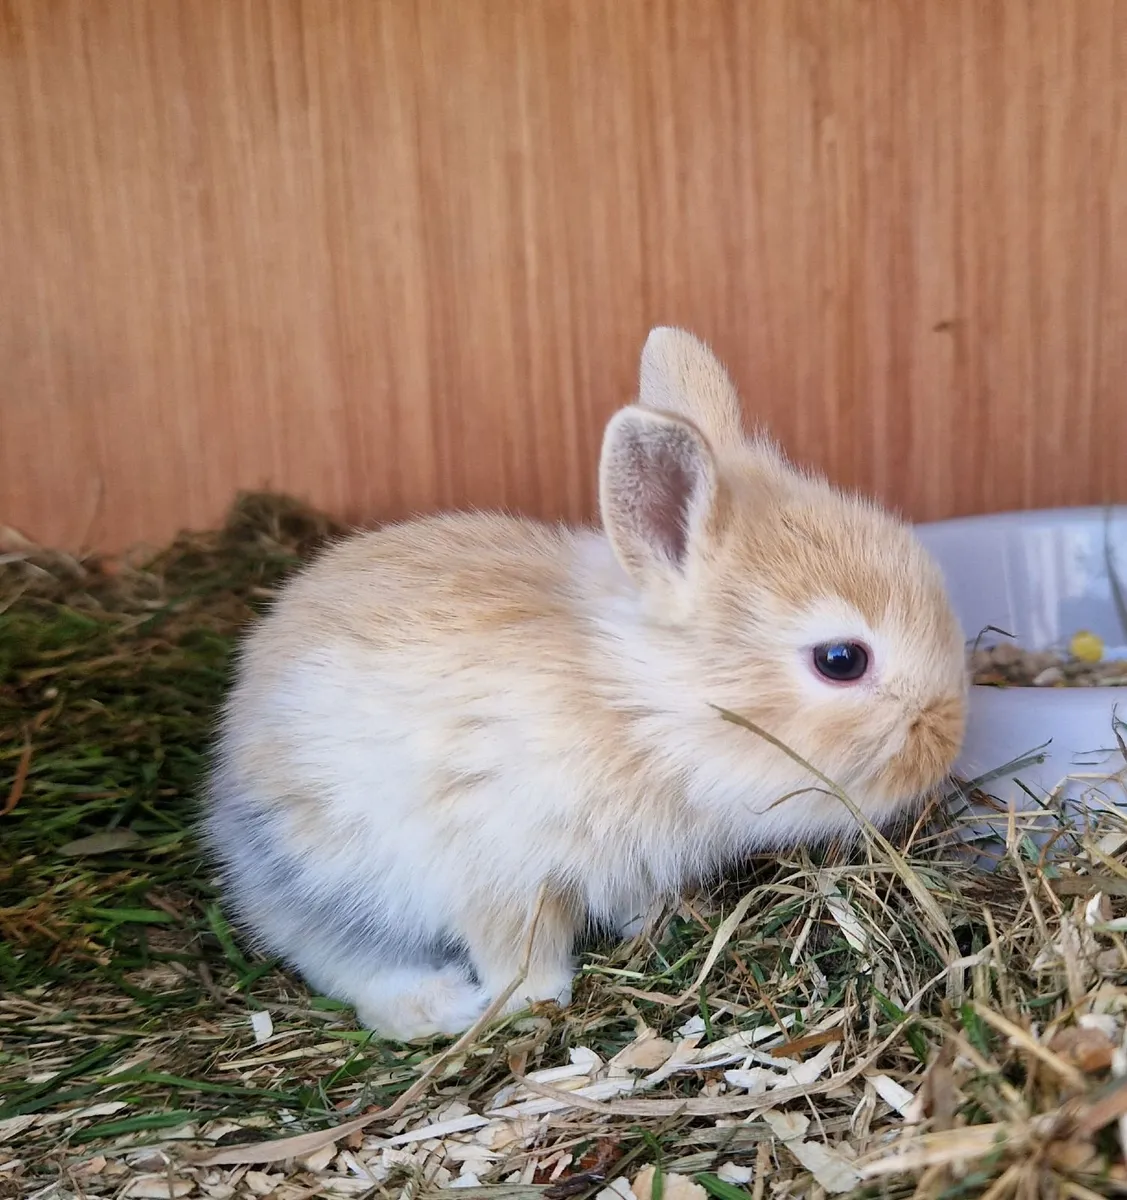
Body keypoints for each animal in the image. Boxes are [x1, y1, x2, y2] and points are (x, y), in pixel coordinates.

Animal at [201, 326, 968, 1042]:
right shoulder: (501, 870)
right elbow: (515, 945)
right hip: (328, 870)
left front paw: (657, 927)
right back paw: (437, 1006)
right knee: (338, 955)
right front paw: (539, 1000)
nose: (949, 740)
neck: (639, 710)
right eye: (841, 659)